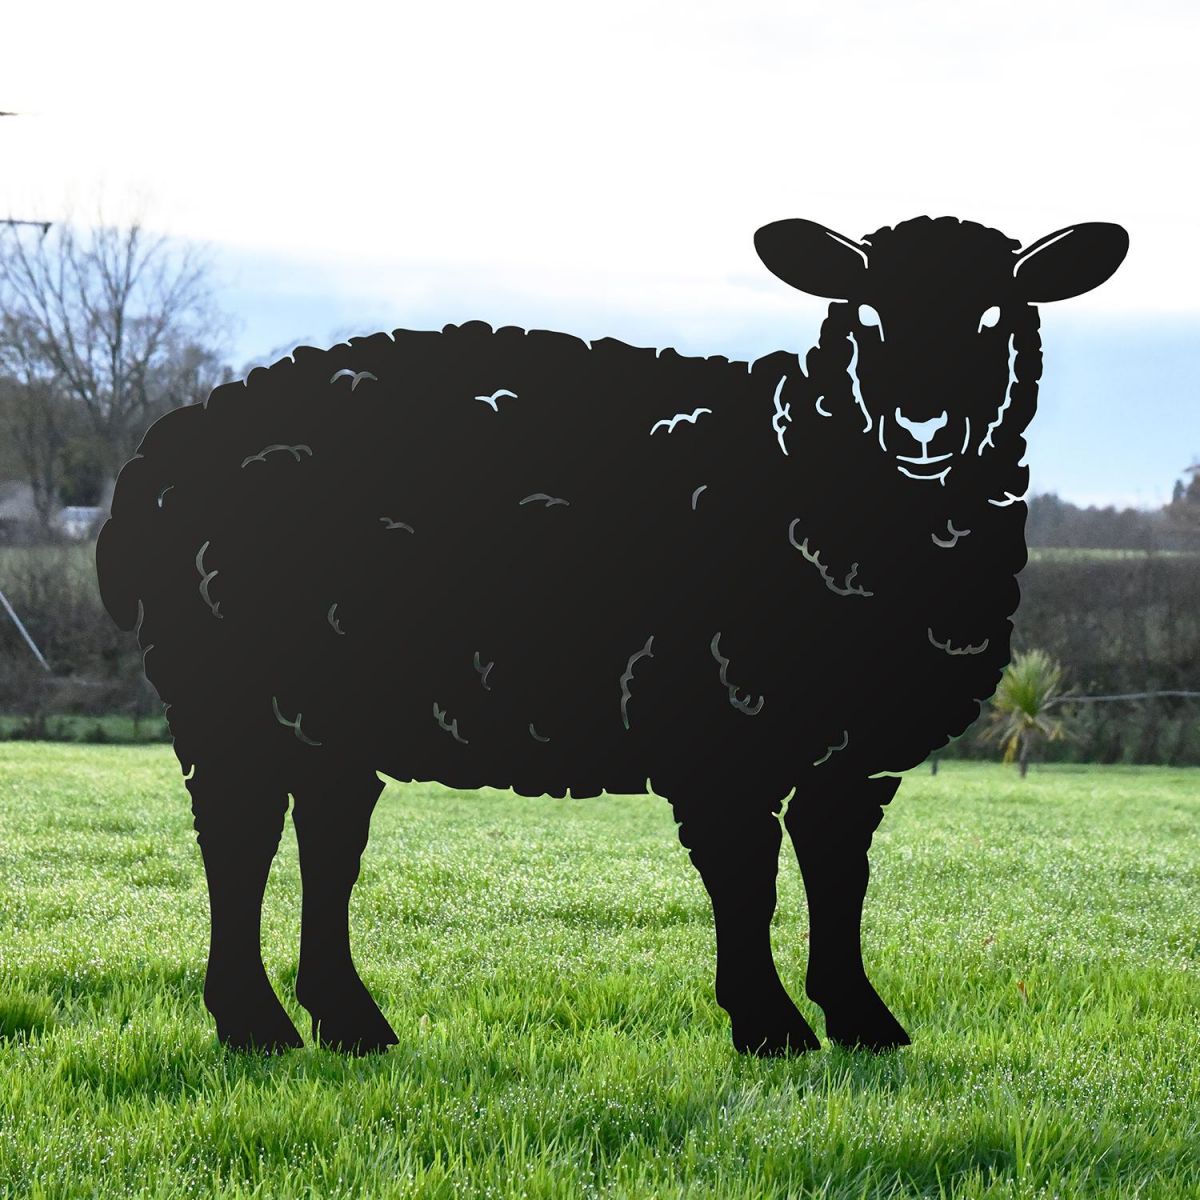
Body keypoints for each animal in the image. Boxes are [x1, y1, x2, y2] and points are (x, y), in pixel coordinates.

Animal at [95, 215, 1128, 1056]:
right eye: (866, 314)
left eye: (997, 316)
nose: (922, 427)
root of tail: (164, 449)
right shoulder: (720, 723)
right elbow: (747, 880)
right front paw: (771, 1029)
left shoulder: (852, 752)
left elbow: (840, 878)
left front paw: (864, 1023)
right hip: (225, 695)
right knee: (240, 842)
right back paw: (255, 1026)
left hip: (322, 710)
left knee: (327, 839)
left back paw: (348, 1023)